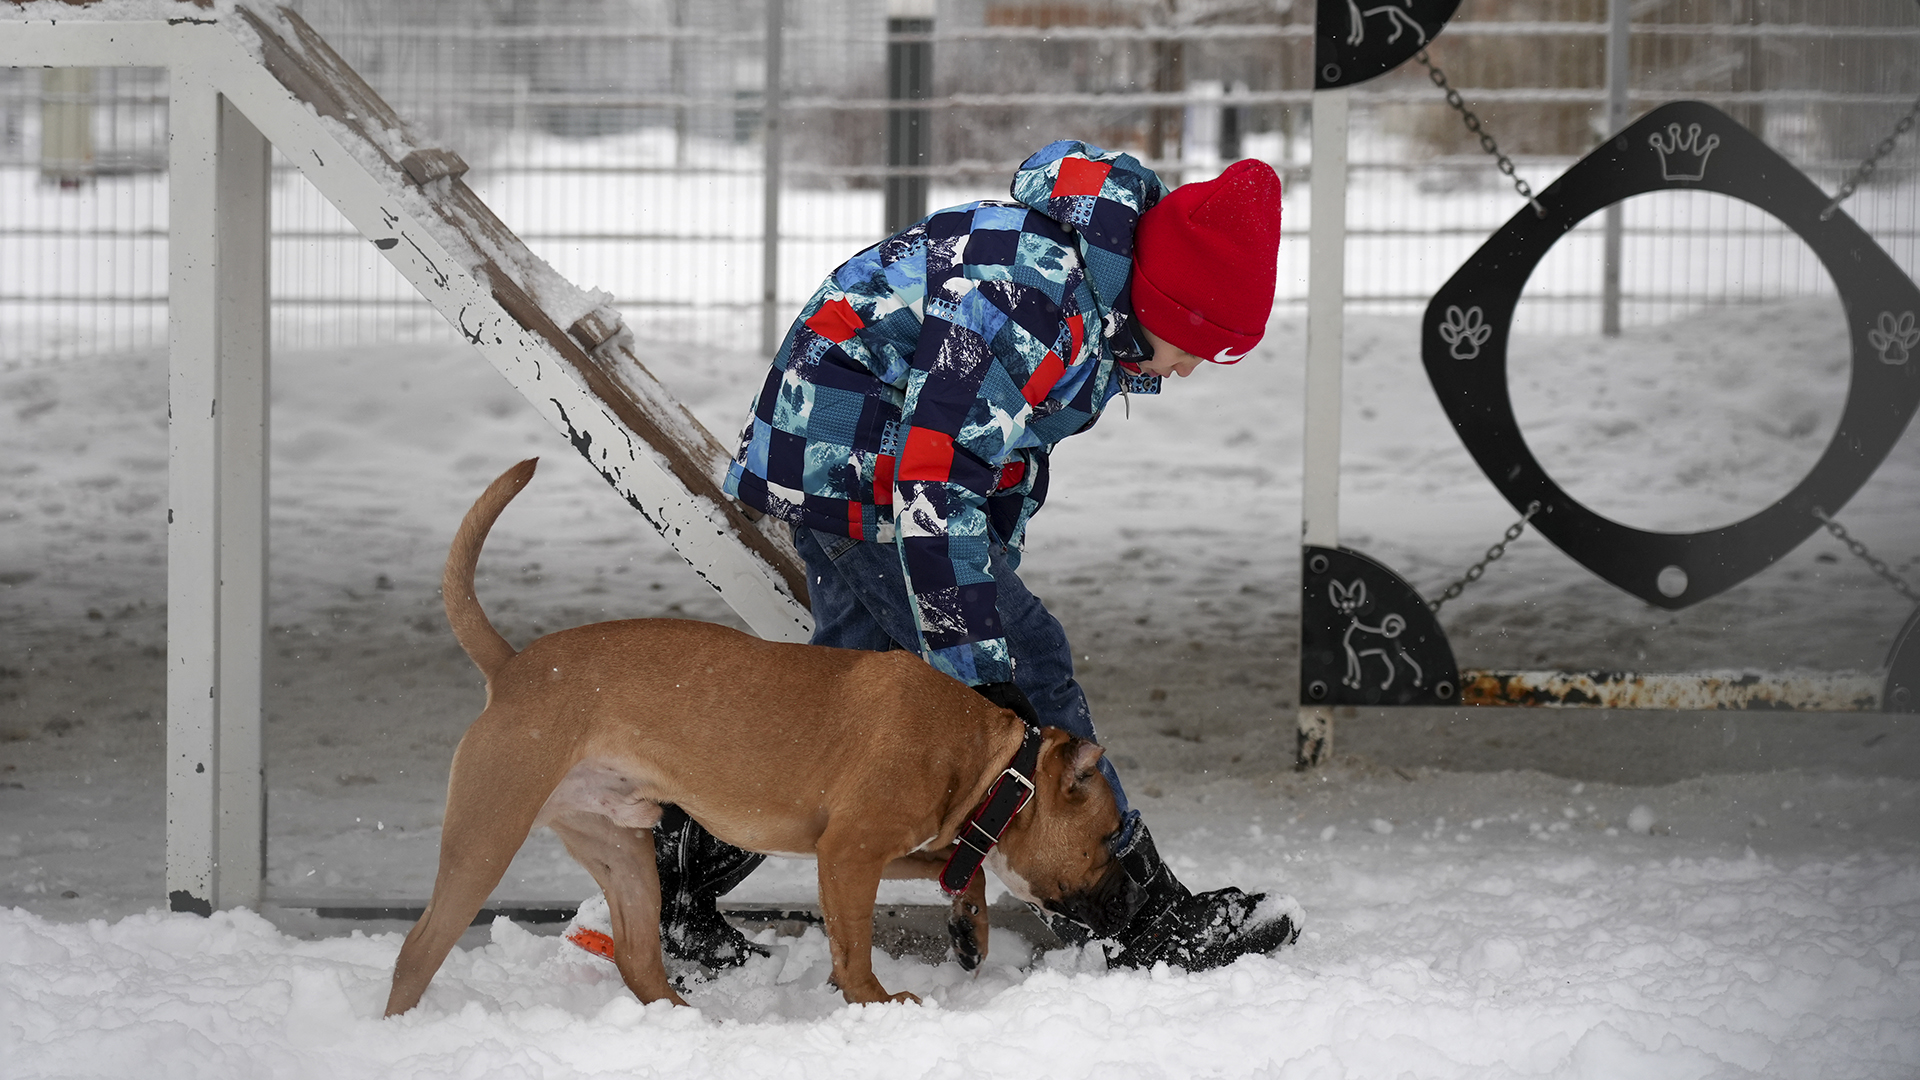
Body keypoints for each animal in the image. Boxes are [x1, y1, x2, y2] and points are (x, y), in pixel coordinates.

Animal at [385, 457, 1136, 1014]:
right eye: (1106, 837)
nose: (1129, 895)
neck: (990, 760)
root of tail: (511, 668)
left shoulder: (877, 852)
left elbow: (967, 875)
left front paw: (970, 934)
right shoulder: (849, 854)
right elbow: (854, 950)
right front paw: (878, 1003)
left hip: (623, 854)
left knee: (638, 959)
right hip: (485, 839)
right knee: (415, 953)